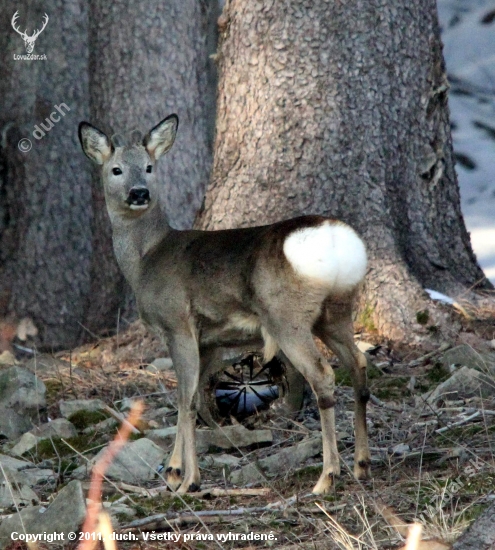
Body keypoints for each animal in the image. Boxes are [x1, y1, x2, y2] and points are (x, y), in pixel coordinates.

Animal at [78, 115, 372, 496]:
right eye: (116, 169)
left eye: (149, 166)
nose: (139, 192)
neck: (146, 260)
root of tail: (336, 239)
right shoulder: (211, 341)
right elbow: (190, 397)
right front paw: (173, 471)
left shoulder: (177, 323)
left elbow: (185, 399)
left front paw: (187, 479)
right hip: (336, 311)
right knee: (358, 363)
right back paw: (362, 464)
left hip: (286, 316)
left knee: (323, 375)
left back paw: (327, 477)